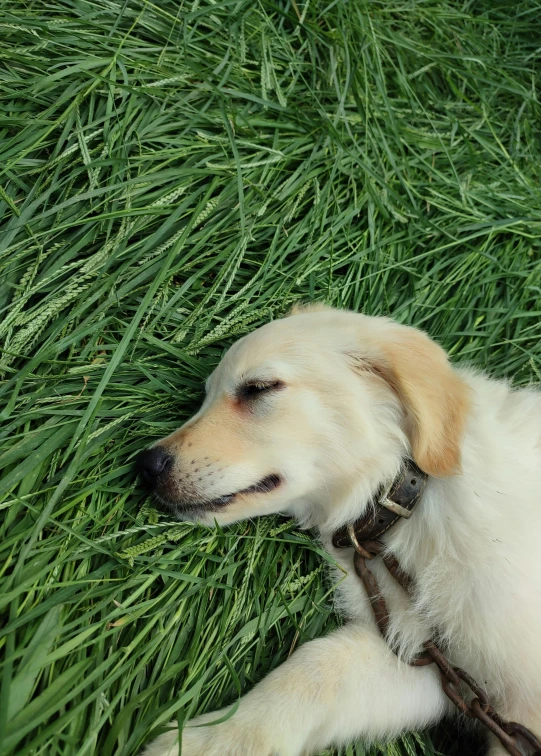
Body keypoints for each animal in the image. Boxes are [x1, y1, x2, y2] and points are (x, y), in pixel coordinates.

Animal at [137, 304, 540, 756]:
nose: (146, 467)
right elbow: (315, 668)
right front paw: (206, 741)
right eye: (204, 396)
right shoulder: (429, 659)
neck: (403, 505)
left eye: (259, 388)